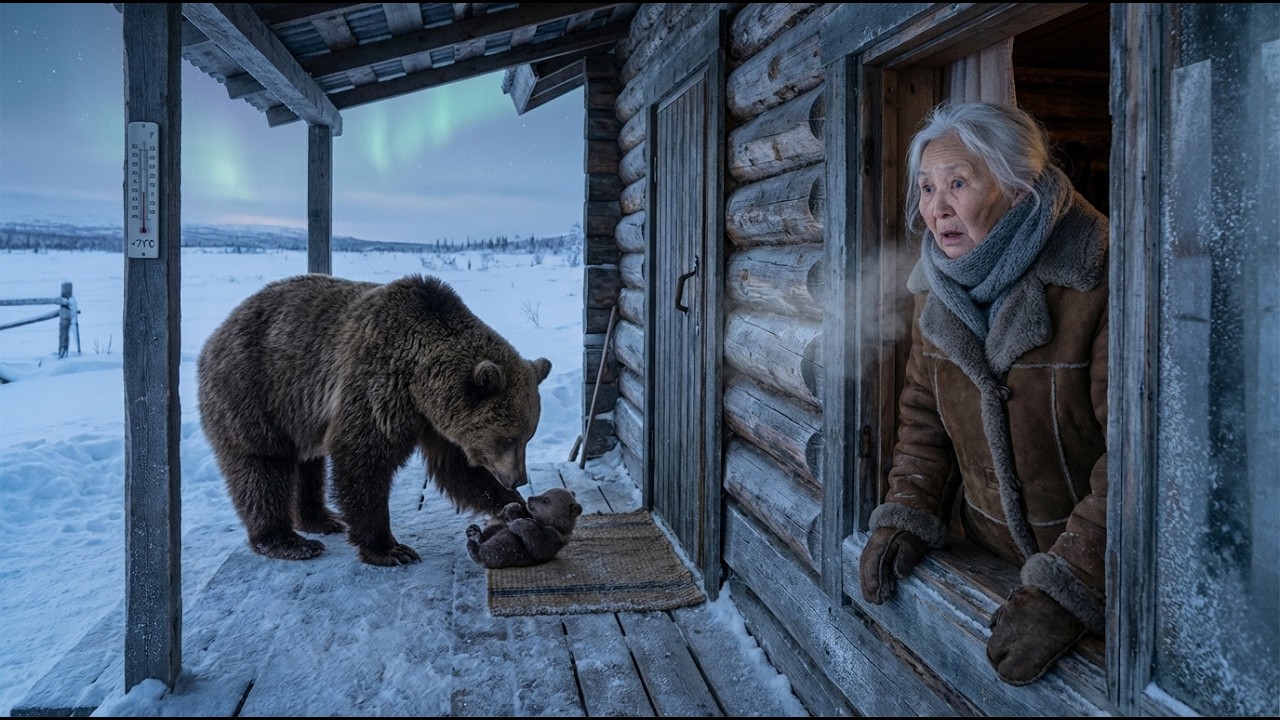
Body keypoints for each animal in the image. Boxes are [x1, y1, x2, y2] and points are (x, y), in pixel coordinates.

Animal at [196, 273, 551, 567]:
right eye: (509, 437)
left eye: (528, 435)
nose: (518, 479)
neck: (419, 382)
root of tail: (217, 332)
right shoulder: (378, 385)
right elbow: (363, 459)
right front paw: (390, 548)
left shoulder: (435, 422)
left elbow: (457, 470)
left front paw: (516, 505)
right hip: (255, 389)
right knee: (261, 466)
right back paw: (288, 541)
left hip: (299, 414)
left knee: (309, 466)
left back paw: (321, 519)